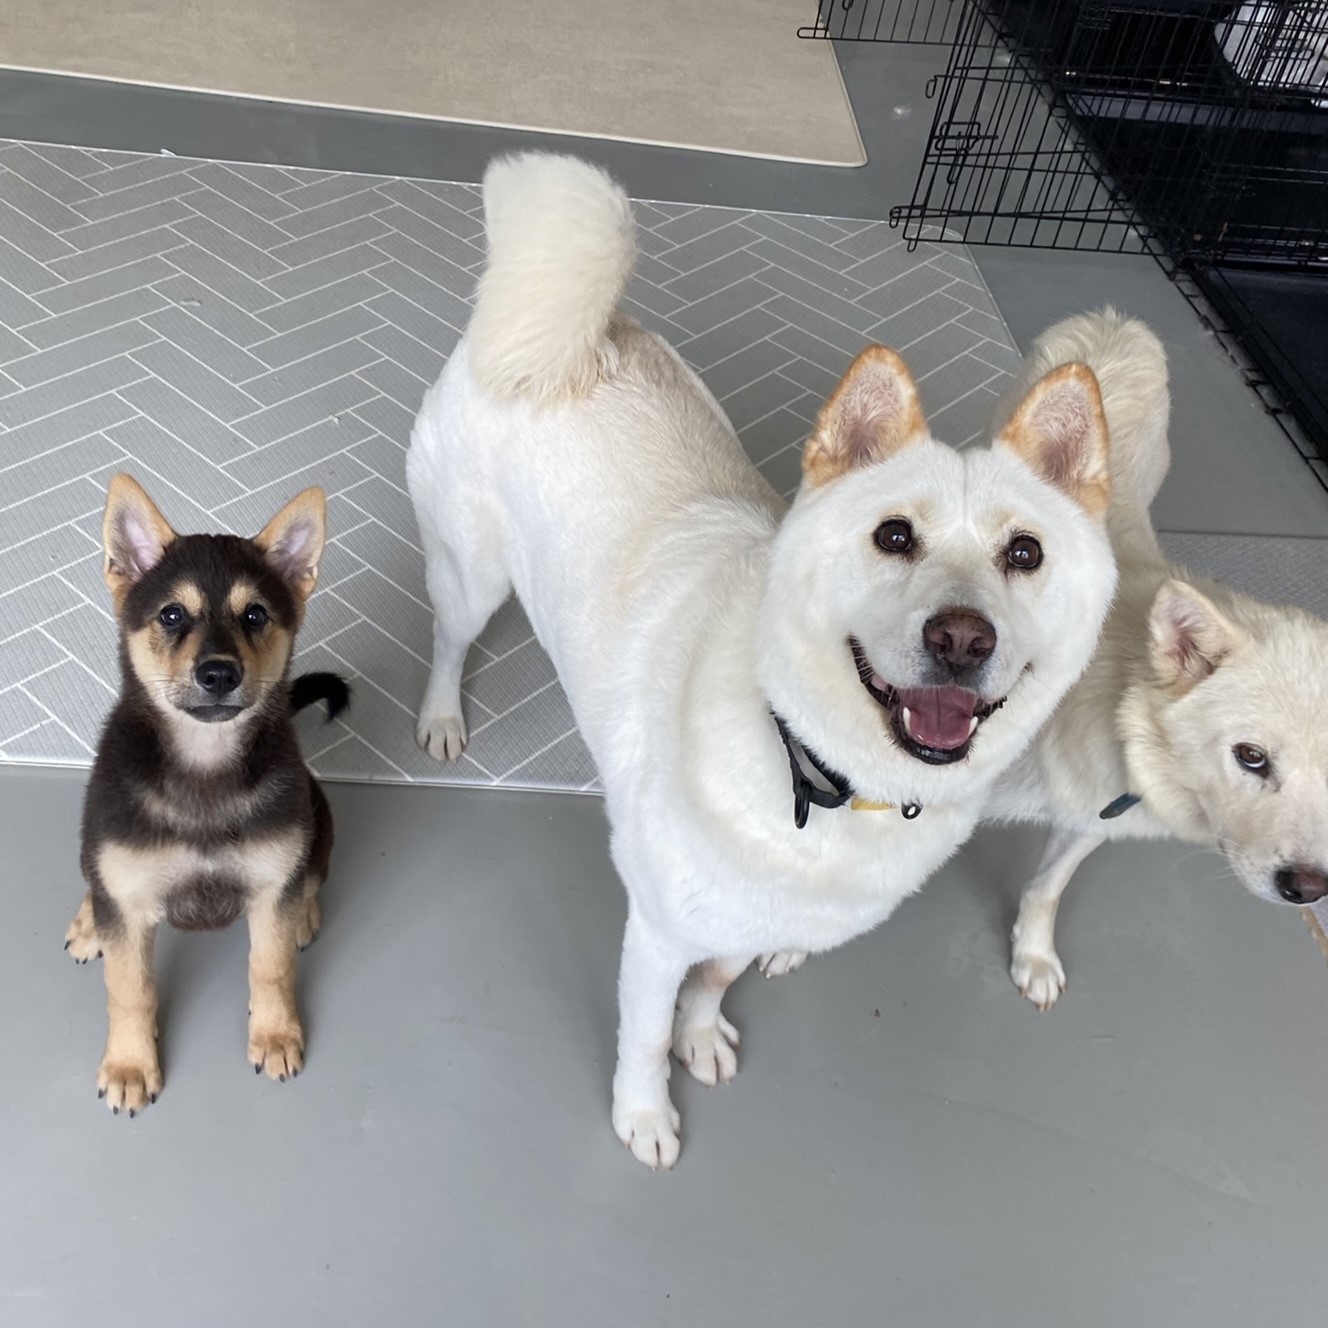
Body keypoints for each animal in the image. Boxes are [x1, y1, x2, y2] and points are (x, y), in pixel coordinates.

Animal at [68, 474, 348, 1114]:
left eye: (255, 614)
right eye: (172, 614)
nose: (218, 673)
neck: (204, 766)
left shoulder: (271, 884)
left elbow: (269, 967)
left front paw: (275, 1034)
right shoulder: (127, 899)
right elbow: (130, 989)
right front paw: (129, 1064)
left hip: (320, 820)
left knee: (311, 877)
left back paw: (305, 914)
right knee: (96, 884)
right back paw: (89, 922)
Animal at [406, 152, 1118, 1167]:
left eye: (1026, 553)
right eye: (892, 536)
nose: (962, 638)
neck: (822, 775)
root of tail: (576, 340)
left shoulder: (753, 917)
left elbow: (720, 977)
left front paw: (704, 1032)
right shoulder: (659, 930)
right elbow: (645, 1031)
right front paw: (645, 1114)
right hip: (470, 575)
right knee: (449, 638)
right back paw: (440, 716)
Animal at [980, 308, 1328, 1011]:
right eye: (1251, 757)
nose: (1308, 890)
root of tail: (1117, 320)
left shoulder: (1091, 819)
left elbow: (1048, 887)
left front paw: (1034, 956)